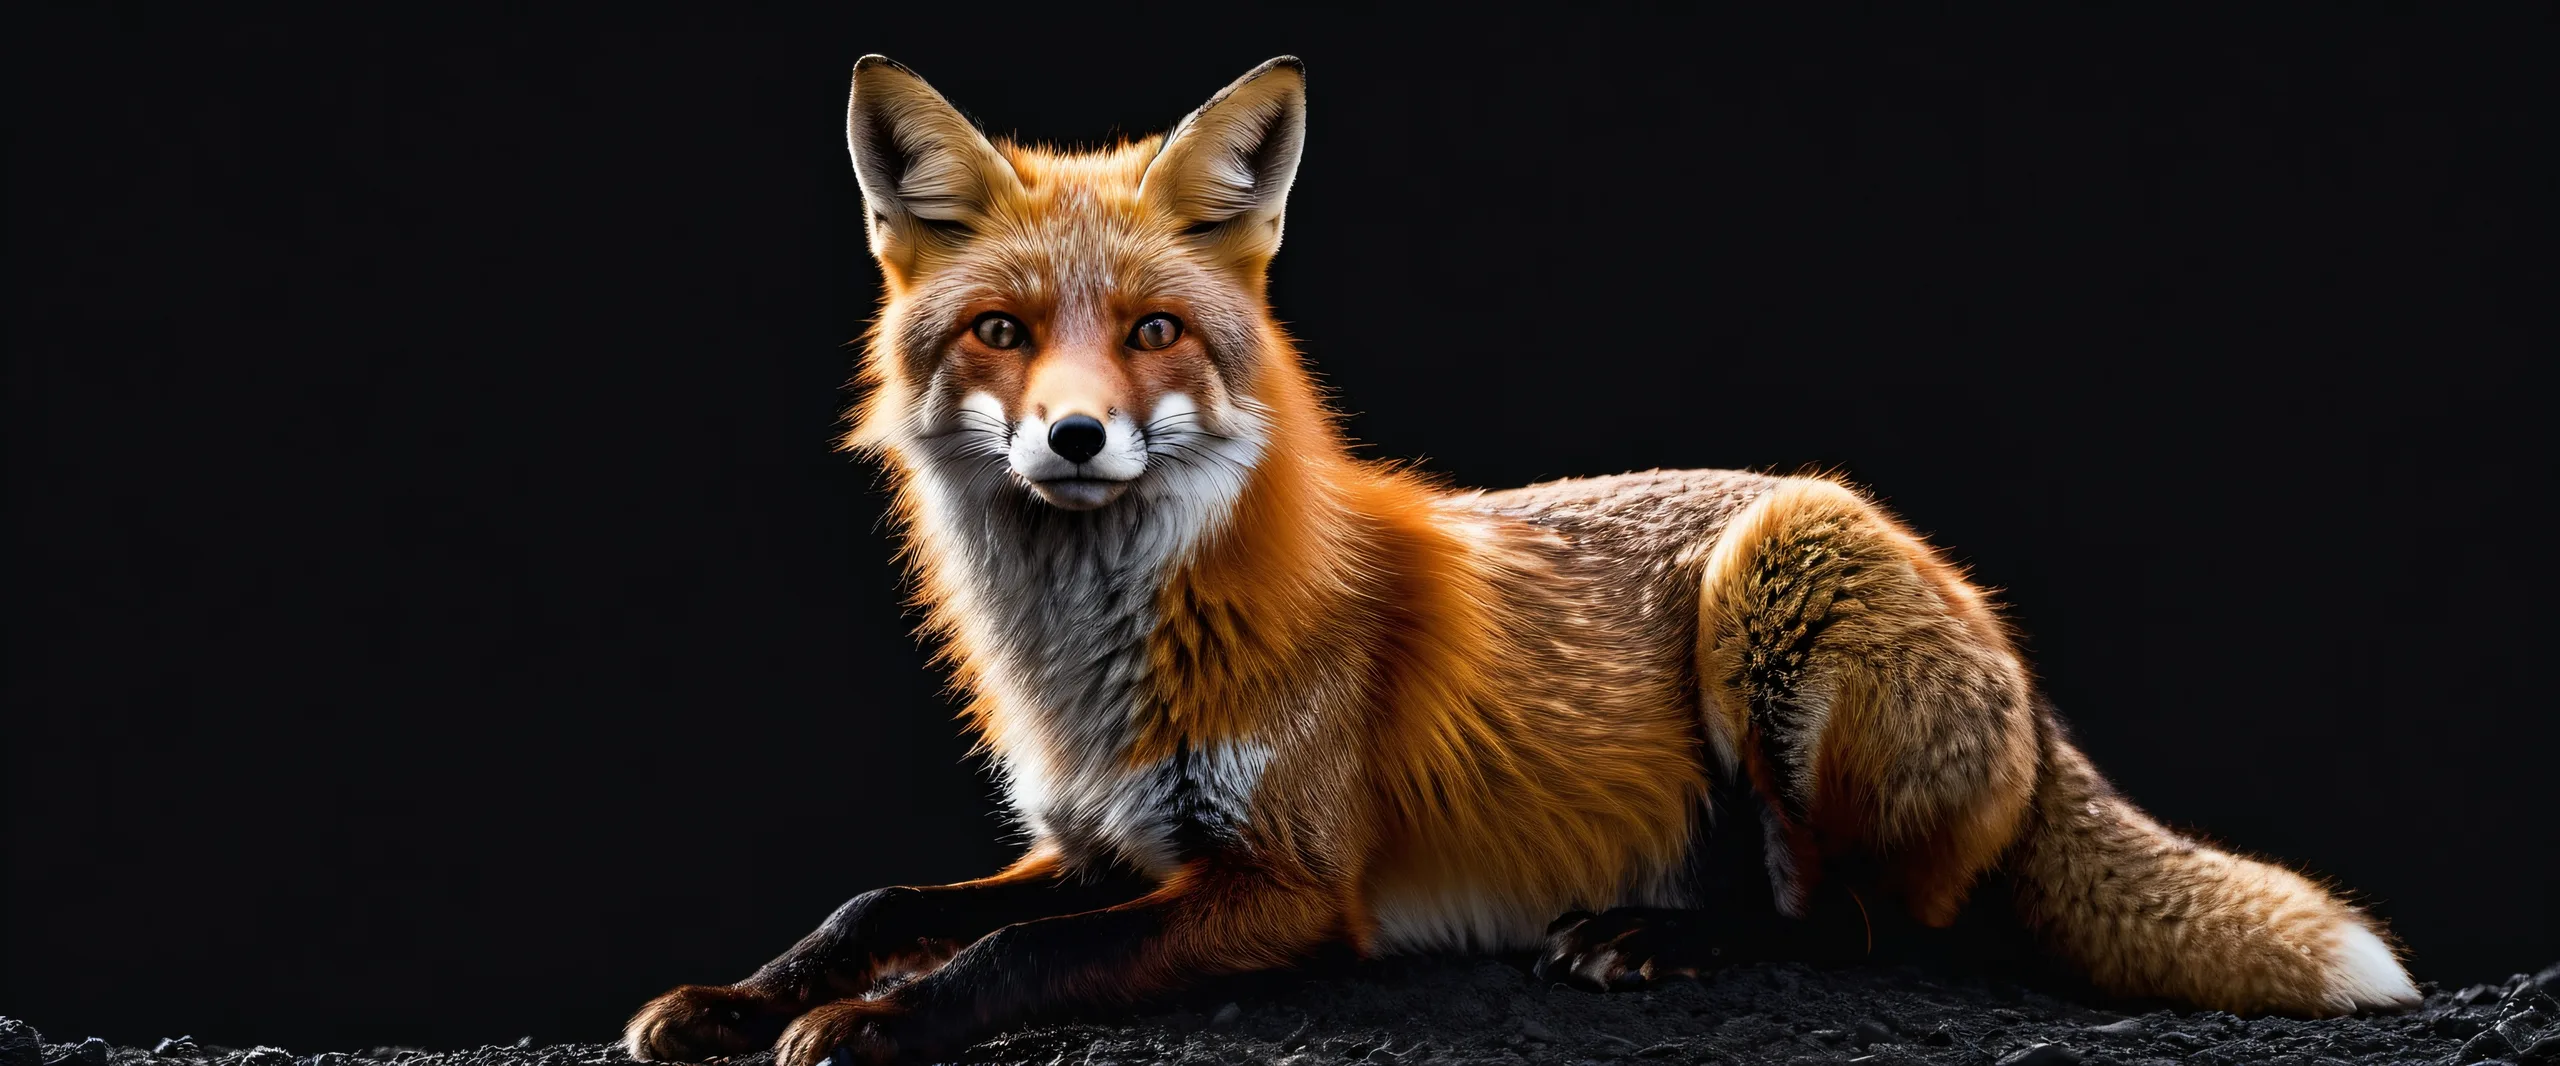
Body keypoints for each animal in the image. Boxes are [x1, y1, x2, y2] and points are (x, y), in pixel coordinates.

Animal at [623, 55, 2422, 1065]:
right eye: (1001, 331)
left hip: (1776, 586)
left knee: (1865, 924)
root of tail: (2020, 671)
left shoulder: (1287, 883)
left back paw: (1657, 935)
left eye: (1150, 333)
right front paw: (741, 996)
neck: (1105, 653)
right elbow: (877, 900)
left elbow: (1013, 956)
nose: (1073, 440)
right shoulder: (1110, 840)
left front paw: (866, 1025)